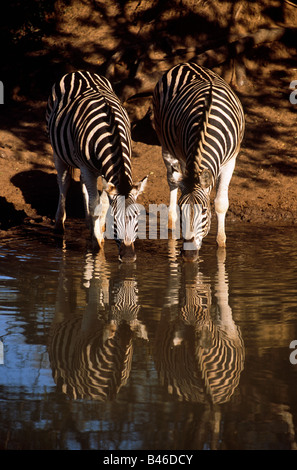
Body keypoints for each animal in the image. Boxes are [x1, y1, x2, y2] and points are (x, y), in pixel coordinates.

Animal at [46, 70, 147, 262]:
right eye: (115, 220)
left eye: (137, 216)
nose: (128, 257)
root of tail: (79, 71)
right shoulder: (88, 168)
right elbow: (95, 205)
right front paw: (96, 243)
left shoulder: (106, 172)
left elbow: (103, 204)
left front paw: (99, 229)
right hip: (58, 150)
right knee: (64, 182)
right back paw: (59, 224)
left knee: (83, 185)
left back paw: (88, 222)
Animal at [151, 61, 244, 260]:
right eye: (182, 211)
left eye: (204, 211)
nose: (189, 255)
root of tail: (185, 63)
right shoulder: (186, 157)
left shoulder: (231, 161)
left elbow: (221, 203)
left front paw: (221, 243)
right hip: (165, 142)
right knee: (172, 180)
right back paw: (171, 223)